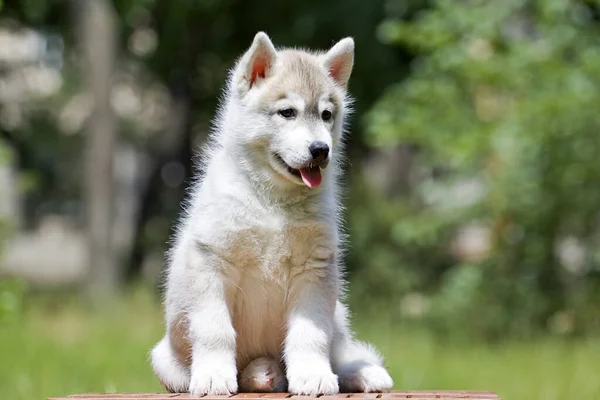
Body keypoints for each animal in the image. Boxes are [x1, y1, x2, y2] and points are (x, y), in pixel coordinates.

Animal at [150, 32, 394, 396]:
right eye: (287, 112)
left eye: (326, 114)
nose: (321, 150)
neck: (273, 202)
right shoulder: (211, 262)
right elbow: (215, 329)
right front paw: (213, 375)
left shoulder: (314, 270)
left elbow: (310, 334)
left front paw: (313, 375)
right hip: (163, 360)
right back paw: (261, 374)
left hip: (338, 313)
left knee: (338, 351)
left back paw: (360, 373)